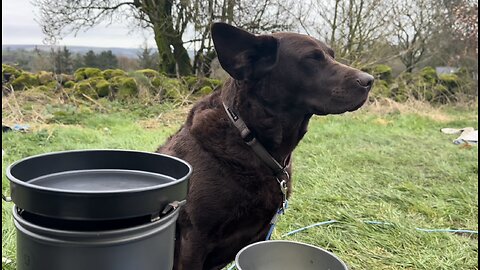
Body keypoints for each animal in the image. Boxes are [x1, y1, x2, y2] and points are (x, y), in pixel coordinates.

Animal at [159, 22, 374, 268]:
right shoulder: (193, 238)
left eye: (332, 55)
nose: (369, 80)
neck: (249, 139)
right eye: (311, 58)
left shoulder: (261, 233)